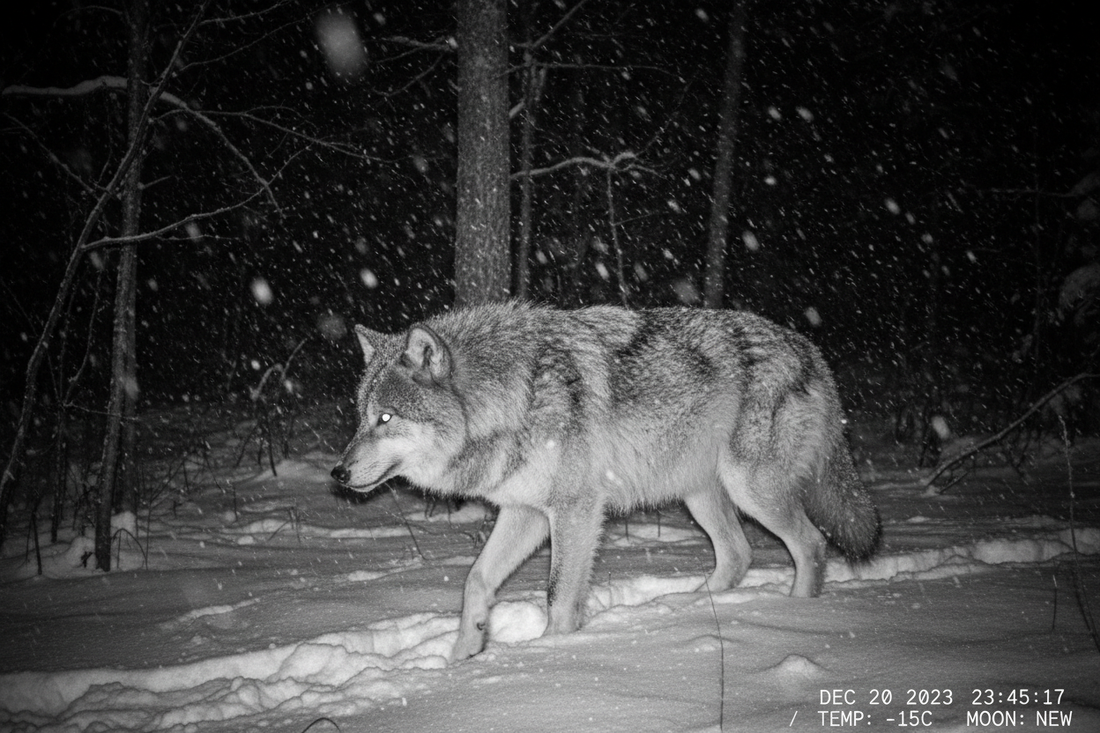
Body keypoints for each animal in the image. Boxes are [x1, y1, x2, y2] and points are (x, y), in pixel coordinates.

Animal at [330, 301, 880, 661]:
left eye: (386, 418)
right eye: (359, 418)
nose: (338, 473)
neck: (514, 397)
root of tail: (812, 351)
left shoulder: (575, 510)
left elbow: (558, 595)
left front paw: (552, 657)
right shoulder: (526, 512)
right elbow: (475, 580)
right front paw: (463, 657)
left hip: (752, 490)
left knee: (810, 544)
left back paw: (790, 616)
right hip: (699, 495)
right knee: (738, 554)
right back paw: (689, 608)